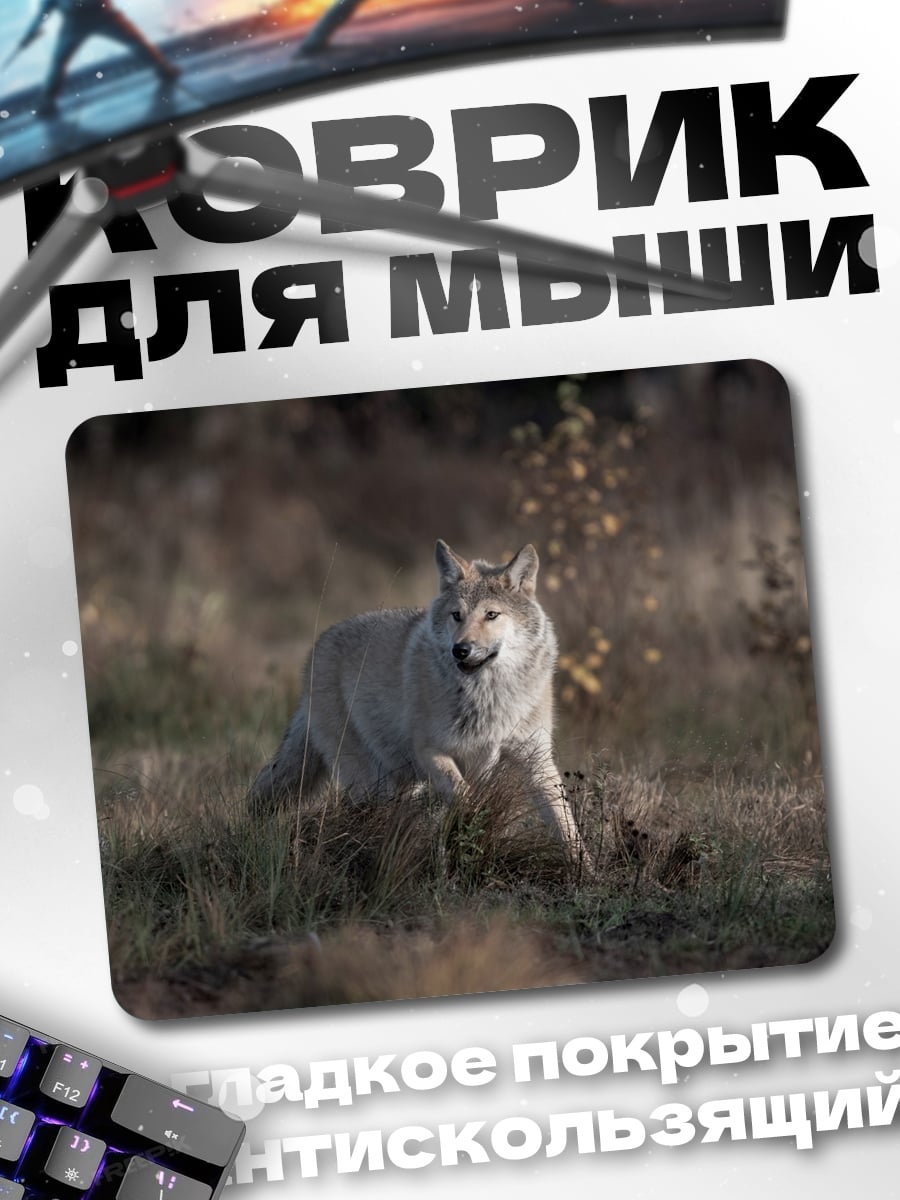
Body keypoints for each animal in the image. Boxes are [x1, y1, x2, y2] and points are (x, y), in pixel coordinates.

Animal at [249, 540, 592, 871]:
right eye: (457, 615)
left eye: (491, 615)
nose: (460, 650)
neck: (488, 696)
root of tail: (317, 648)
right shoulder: (431, 751)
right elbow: (465, 797)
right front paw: (467, 835)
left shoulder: (536, 759)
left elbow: (565, 823)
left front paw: (585, 871)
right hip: (373, 782)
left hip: (399, 783)